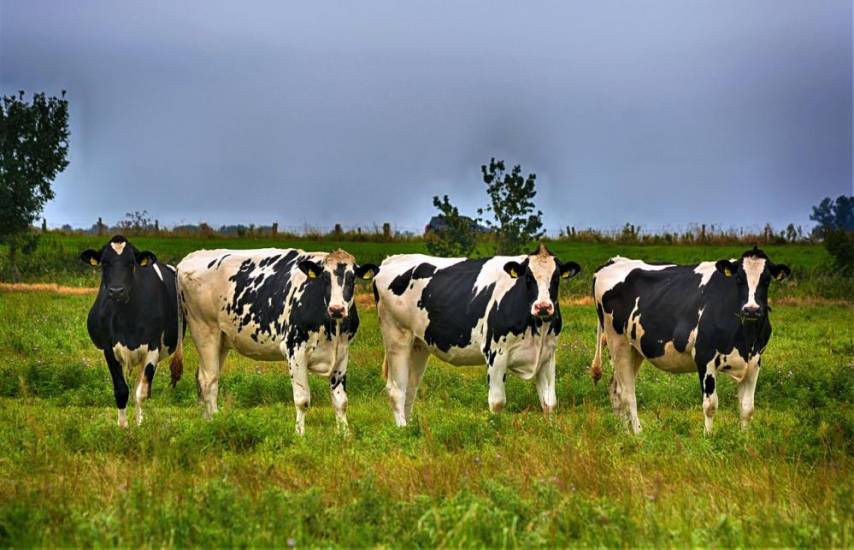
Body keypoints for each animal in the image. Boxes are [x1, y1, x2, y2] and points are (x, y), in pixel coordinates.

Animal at [80, 235, 184, 430]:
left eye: (131, 263)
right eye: (104, 263)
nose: (116, 291)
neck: (126, 318)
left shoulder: (152, 348)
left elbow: (141, 392)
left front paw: (139, 425)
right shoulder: (109, 349)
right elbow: (121, 390)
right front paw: (123, 427)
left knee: (141, 385)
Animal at [176, 249, 378, 436]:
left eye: (352, 278)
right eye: (324, 278)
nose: (337, 309)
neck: (332, 326)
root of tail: (190, 258)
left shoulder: (342, 352)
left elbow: (341, 401)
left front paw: (345, 435)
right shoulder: (295, 350)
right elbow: (302, 400)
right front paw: (300, 435)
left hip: (222, 340)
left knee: (204, 378)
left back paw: (206, 422)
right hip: (205, 332)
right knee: (208, 381)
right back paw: (214, 422)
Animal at [374, 243, 580, 426]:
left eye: (556, 279)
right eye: (528, 278)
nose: (543, 306)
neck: (537, 327)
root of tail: (390, 260)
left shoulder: (547, 355)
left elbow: (549, 402)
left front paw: (551, 430)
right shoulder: (496, 353)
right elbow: (497, 402)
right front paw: (496, 430)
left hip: (418, 345)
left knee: (410, 388)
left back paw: (410, 428)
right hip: (396, 337)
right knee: (396, 389)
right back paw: (402, 430)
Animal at [592, 247, 792, 436]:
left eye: (766, 280)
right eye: (739, 279)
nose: (751, 309)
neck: (746, 339)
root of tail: (615, 260)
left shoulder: (755, 361)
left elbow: (747, 408)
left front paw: (744, 440)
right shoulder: (705, 357)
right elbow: (710, 405)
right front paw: (708, 438)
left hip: (635, 348)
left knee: (615, 389)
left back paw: (624, 433)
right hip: (617, 342)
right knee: (627, 393)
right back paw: (638, 434)